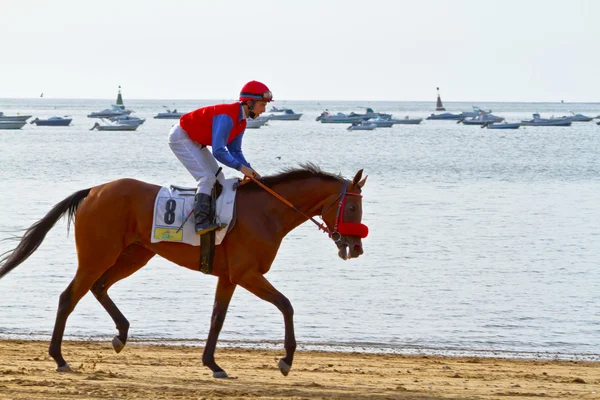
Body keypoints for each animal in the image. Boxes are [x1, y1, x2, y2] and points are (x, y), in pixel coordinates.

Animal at [0, 165, 368, 378]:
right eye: (351, 206)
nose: (356, 247)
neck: (267, 211)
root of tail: (93, 190)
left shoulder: (229, 277)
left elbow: (217, 317)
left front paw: (212, 364)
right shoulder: (247, 274)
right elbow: (286, 305)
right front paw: (287, 360)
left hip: (135, 255)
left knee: (99, 287)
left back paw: (121, 334)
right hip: (97, 255)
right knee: (69, 296)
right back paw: (59, 358)